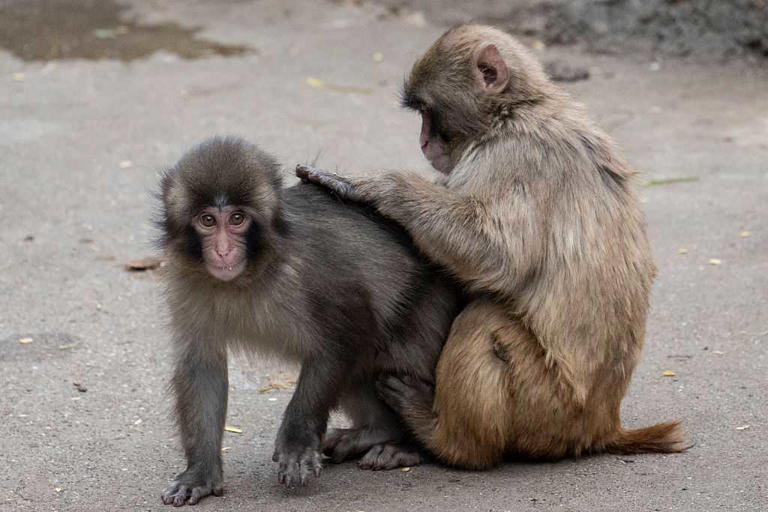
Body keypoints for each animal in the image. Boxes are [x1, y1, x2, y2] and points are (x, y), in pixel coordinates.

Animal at [158, 136, 461, 506]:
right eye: (207, 220)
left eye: (237, 218)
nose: (223, 251)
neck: (251, 273)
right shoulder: (187, 281)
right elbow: (202, 365)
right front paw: (200, 473)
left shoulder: (312, 270)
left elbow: (349, 332)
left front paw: (297, 439)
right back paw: (377, 432)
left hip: (432, 300)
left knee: (390, 343)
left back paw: (410, 443)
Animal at [296, 24, 687, 470]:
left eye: (427, 111)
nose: (423, 142)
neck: (513, 111)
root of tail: (602, 426)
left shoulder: (516, 156)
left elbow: (498, 256)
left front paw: (379, 186)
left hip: (548, 407)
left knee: (483, 321)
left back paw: (442, 439)